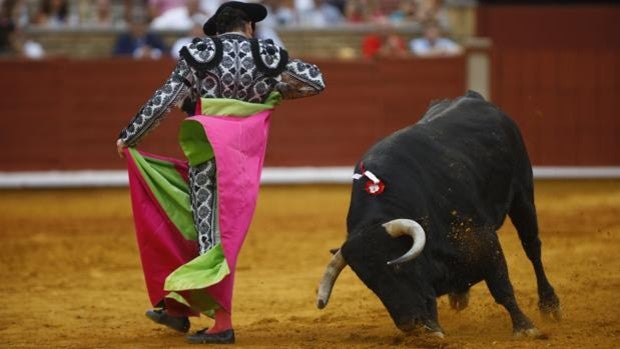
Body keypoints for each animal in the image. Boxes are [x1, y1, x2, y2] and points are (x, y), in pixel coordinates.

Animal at [320, 90, 560, 338]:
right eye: (370, 284)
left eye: (399, 267)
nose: (408, 324)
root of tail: (473, 97)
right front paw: (432, 331)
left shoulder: (484, 239)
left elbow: (501, 287)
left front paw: (525, 327)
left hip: (523, 195)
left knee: (532, 248)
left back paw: (549, 305)